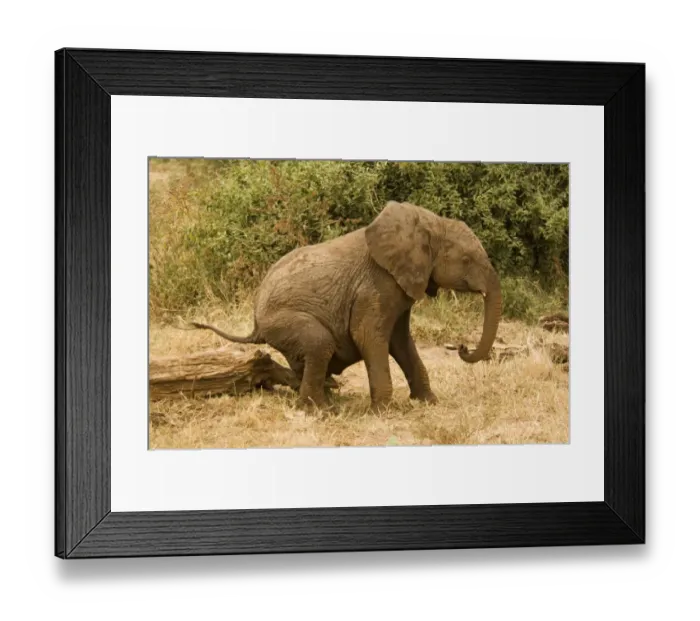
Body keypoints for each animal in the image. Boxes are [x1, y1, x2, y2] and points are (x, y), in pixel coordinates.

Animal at [192, 201, 502, 411]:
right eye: (466, 260)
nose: (462, 347)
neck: (428, 223)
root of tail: (255, 323)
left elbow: (400, 341)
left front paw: (429, 402)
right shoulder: (376, 284)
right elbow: (369, 336)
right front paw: (384, 412)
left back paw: (326, 398)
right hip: (283, 321)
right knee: (319, 344)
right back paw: (320, 409)